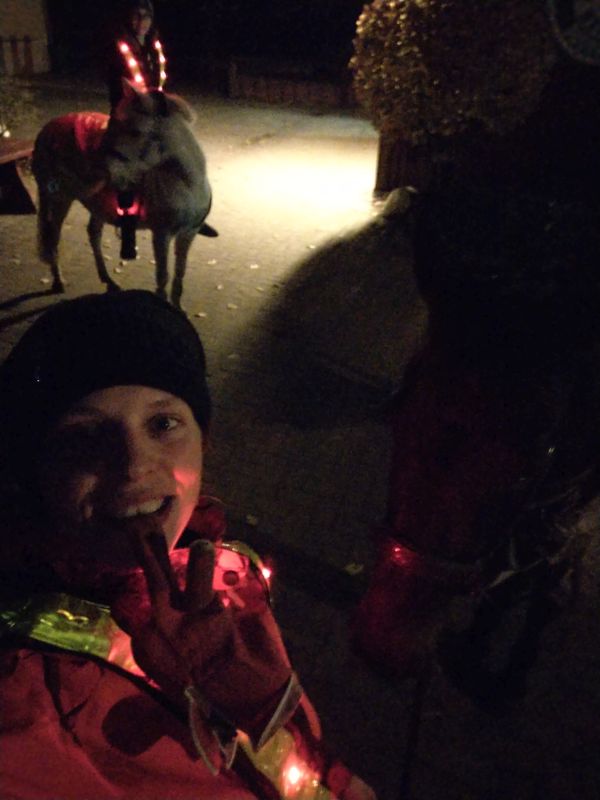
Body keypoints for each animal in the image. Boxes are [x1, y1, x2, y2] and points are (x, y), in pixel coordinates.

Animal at [32, 80, 215, 308]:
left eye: (135, 132)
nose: (97, 167)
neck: (188, 186)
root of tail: (48, 129)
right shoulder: (161, 235)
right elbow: (162, 276)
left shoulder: (188, 233)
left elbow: (179, 275)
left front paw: (178, 308)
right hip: (60, 199)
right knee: (53, 238)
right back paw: (58, 282)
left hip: (96, 205)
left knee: (93, 234)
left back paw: (108, 281)